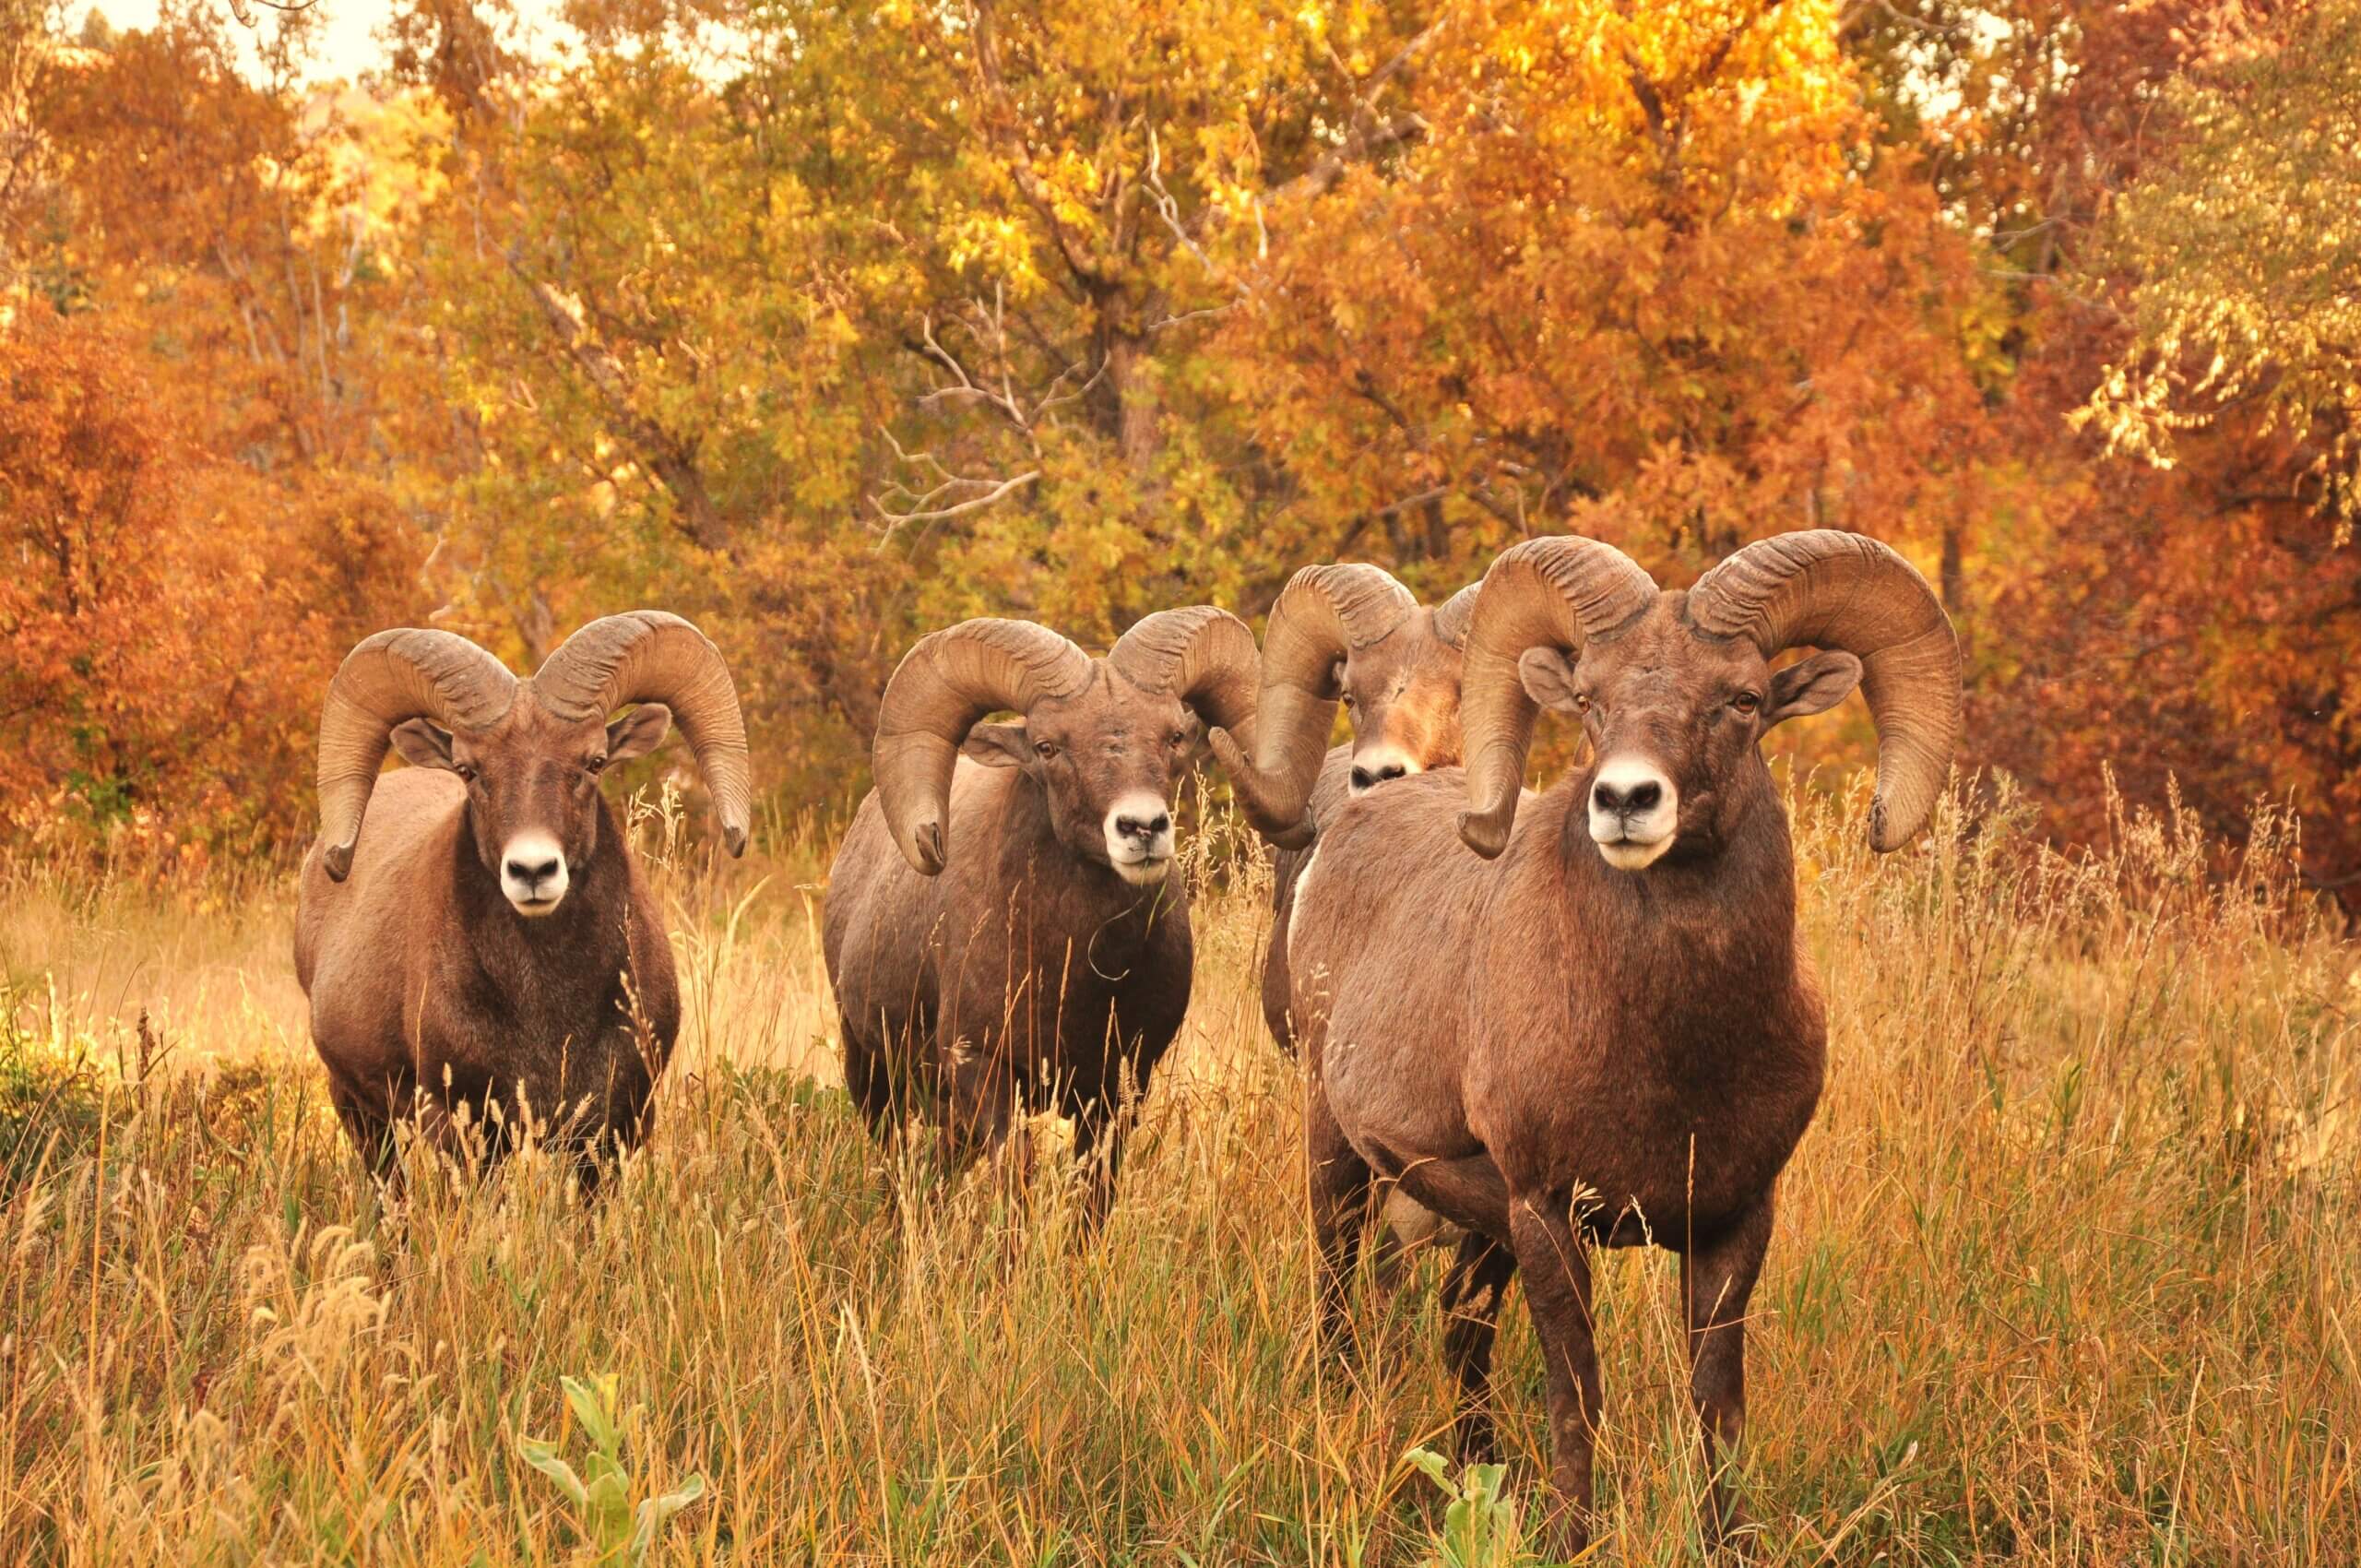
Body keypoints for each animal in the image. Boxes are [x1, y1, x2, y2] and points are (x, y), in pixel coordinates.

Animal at [294, 612, 752, 1191]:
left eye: (594, 761)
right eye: (468, 770)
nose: (532, 870)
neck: (546, 1012)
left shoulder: (614, 1132)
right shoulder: (460, 1128)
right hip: (360, 1114)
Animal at [822, 607, 1260, 1230]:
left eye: (1175, 736)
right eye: (1048, 746)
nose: (1142, 828)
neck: (1079, 975)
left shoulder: (1119, 1089)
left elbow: (1093, 1193)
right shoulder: (983, 1070)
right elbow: (1016, 1178)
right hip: (870, 1069)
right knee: (894, 1160)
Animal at [1284, 530, 1960, 1550]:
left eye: (1743, 699)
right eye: (1591, 697)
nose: (1627, 800)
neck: (1675, 1056)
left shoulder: (1733, 1221)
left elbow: (1715, 1408)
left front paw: (1727, 1541)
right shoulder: (1548, 1214)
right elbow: (1578, 1399)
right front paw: (1568, 1537)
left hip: (1477, 1227)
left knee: (1459, 1331)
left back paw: (1477, 1470)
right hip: (1342, 1159)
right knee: (1338, 1299)